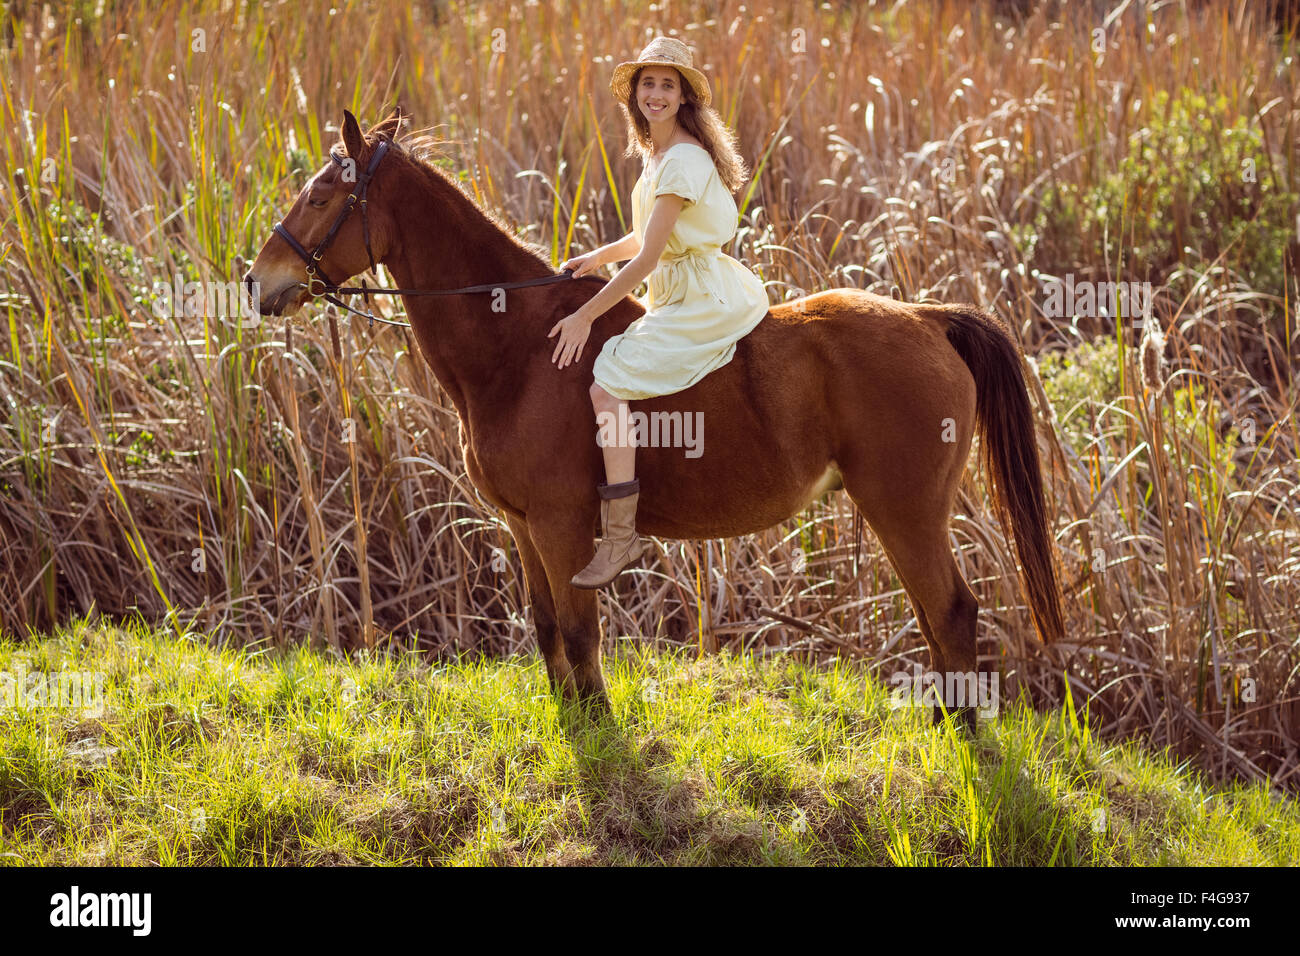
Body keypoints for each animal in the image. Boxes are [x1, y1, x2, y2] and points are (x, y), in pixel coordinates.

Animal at [248, 110, 1060, 723]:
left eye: (319, 197)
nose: (257, 282)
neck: (517, 348)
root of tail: (928, 318)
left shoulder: (560, 526)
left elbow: (581, 632)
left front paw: (601, 735)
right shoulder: (523, 524)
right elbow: (547, 627)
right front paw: (572, 725)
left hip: (905, 510)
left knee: (951, 614)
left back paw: (958, 739)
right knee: (935, 617)